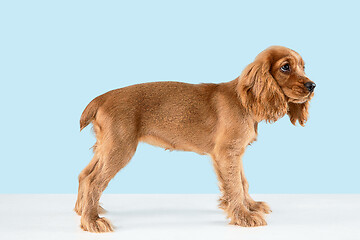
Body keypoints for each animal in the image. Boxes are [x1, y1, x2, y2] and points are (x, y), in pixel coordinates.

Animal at [75, 45, 316, 232]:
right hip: (120, 148)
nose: (312, 86)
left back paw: (82, 210)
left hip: (106, 146)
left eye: (303, 67)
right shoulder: (226, 152)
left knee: (84, 174)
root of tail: (101, 98)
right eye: (285, 67)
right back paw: (92, 221)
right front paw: (243, 217)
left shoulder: (235, 153)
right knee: (93, 180)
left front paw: (250, 206)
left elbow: (242, 181)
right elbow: (235, 185)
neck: (243, 100)